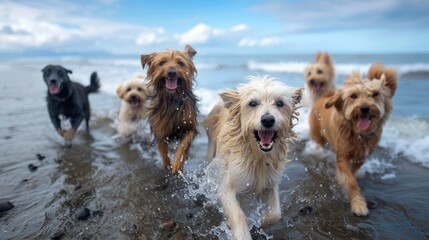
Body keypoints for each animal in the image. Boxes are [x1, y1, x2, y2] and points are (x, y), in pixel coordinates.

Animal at [140, 44, 197, 173]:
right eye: (162, 62)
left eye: (180, 63)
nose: (171, 72)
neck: (172, 99)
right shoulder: (160, 131)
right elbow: (163, 153)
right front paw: (168, 166)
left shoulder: (189, 126)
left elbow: (184, 143)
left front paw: (177, 163)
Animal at [203, 75, 300, 240]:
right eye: (252, 103)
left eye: (280, 103)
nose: (268, 120)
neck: (258, 156)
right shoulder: (228, 186)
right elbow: (237, 214)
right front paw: (243, 231)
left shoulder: (270, 182)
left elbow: (275, 214)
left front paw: (259, 220)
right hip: (212, 150)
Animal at [310, 63, 396, 216]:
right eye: (353, 96)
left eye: (375, 94)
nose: (364, 108)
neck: (358, 135)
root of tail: (324, 96)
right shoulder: (342, 157)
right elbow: (351, 182)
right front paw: (358, 204)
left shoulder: (361, 158)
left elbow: (353, 173)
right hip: (318, 137)